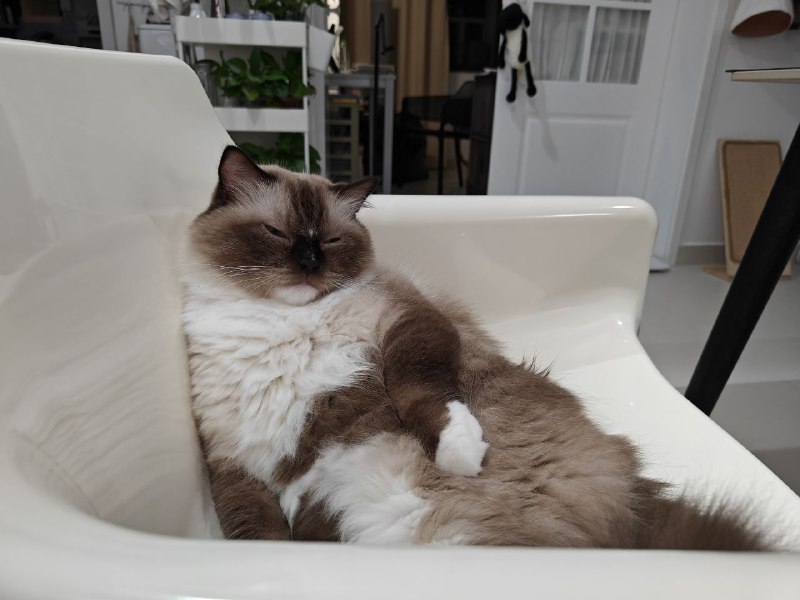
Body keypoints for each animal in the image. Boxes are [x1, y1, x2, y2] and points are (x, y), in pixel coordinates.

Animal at [181, 146, 764, 549]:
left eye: (330, 241)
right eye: (277, 233)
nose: (309, 264)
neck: (281, 322)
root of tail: (637, 510)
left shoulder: (406, 319)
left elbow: (418, 393)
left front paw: (458, 451)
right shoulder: (232, 464)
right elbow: (260, 537)